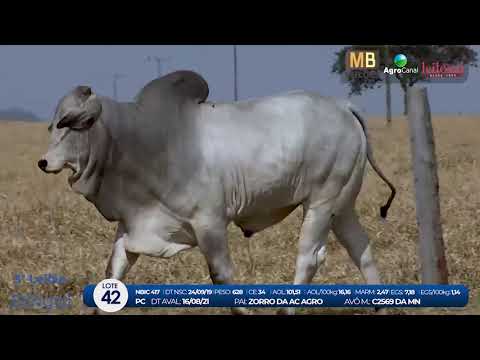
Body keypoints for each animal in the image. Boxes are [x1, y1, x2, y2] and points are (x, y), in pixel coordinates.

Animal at [39, 70, 396, 316]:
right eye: (54, 123)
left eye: (71, 122)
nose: (43, 161)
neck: (143, 143)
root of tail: (342, 106)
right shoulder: (135, 224)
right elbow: (113, 271)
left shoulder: (209, 222)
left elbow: (221, 276)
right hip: (342, 206)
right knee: (361, 249)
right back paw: (380, 305)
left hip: (321, 202)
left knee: (310, 257)